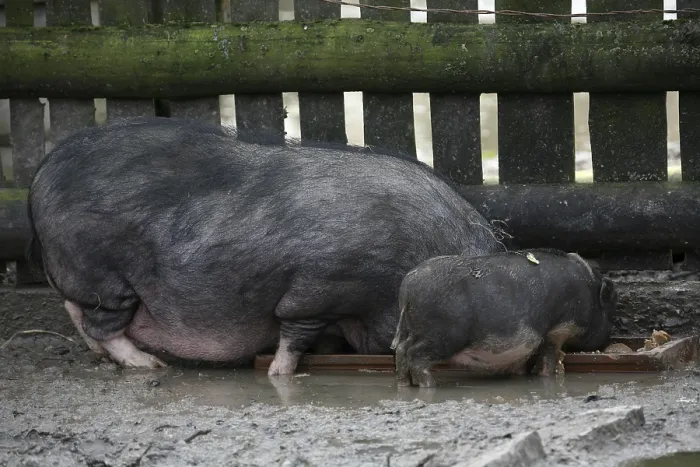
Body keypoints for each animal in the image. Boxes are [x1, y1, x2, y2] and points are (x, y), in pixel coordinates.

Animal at [26, 116, 505, 375]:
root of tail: (41, 174)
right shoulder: (320, 288)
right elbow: (293, 333)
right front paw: (279, 372)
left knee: (77, 312)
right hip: (102, 273)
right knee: (100, 323)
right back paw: (149, 365)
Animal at [391, 249, 617, 387]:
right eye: (609, 310)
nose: (608, 339)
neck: (589, 288)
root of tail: (407, 287)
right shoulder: (559, 328)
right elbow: (548, 357)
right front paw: (545, 375)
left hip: (414, 329)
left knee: (401, 350)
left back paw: (404, 384)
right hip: (442, 334)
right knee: (415, 355)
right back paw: (430, 385)